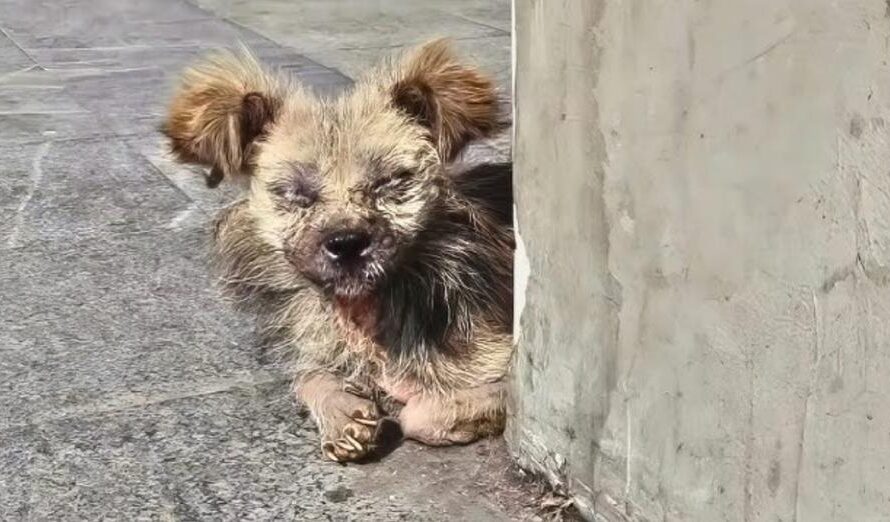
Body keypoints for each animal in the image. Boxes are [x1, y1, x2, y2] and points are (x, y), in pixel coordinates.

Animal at [161, 41, 512, 464]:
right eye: (295, 193)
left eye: (389, 182)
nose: (346, 243)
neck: (364, 316)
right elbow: (309, 375)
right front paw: (341, 412)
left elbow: (421, 413)